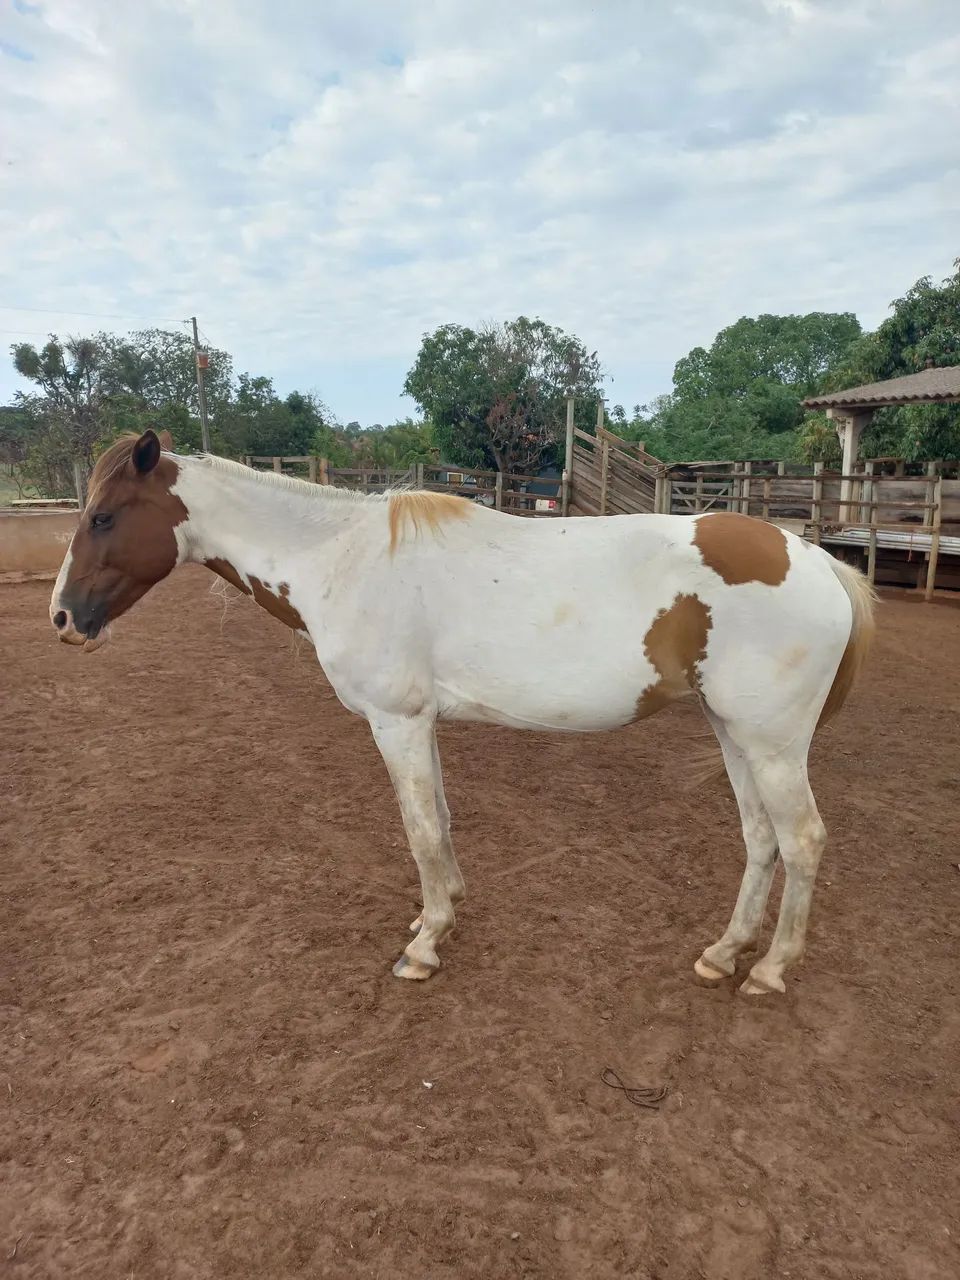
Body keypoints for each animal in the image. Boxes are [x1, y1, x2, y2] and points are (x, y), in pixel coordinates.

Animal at [50, 430, 875, 996]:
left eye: (104, 517)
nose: (62, 617)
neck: (340, 560)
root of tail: (816, 560)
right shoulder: (421, 725)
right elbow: (440, 820)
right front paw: (436, 914)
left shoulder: (397, 721)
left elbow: (419, 828)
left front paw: (425, 946)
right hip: (735, 735)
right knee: (760, 839)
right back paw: (724, 953)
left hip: (772, 744)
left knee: (802, 840)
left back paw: (769, 970)